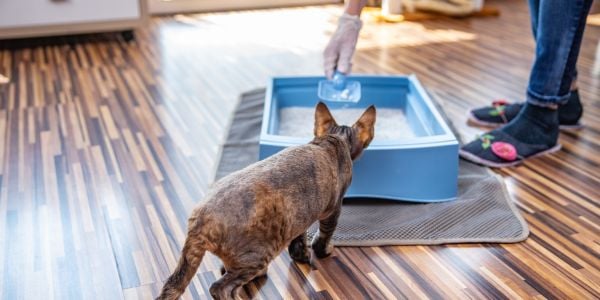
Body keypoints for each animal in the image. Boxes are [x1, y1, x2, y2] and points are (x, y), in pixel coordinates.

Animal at [156, 102, 376, 298]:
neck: (334, 139)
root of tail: (199, 222)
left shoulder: (301, 214)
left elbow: (299, 239)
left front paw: (301, 255)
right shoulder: (334, 208)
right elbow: (324, 235)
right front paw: (323, 251)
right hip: (259, 254)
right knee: (220, 288)